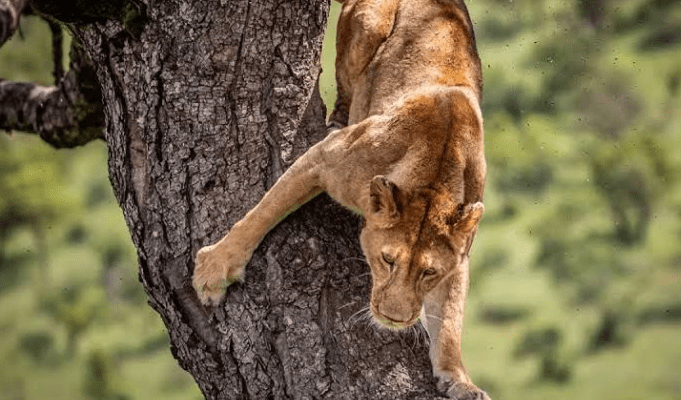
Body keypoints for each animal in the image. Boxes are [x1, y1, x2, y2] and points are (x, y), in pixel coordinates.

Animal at [193, 0, 488, 398]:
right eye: (387, 260)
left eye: (429, 272)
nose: (394, 318)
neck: (435, 180)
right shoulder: (324, 158)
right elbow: (263, 212)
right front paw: (216, 268)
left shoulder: (459, 255)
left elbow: (450, 318)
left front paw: (459, 379)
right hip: (369, 24)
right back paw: (339, 116)